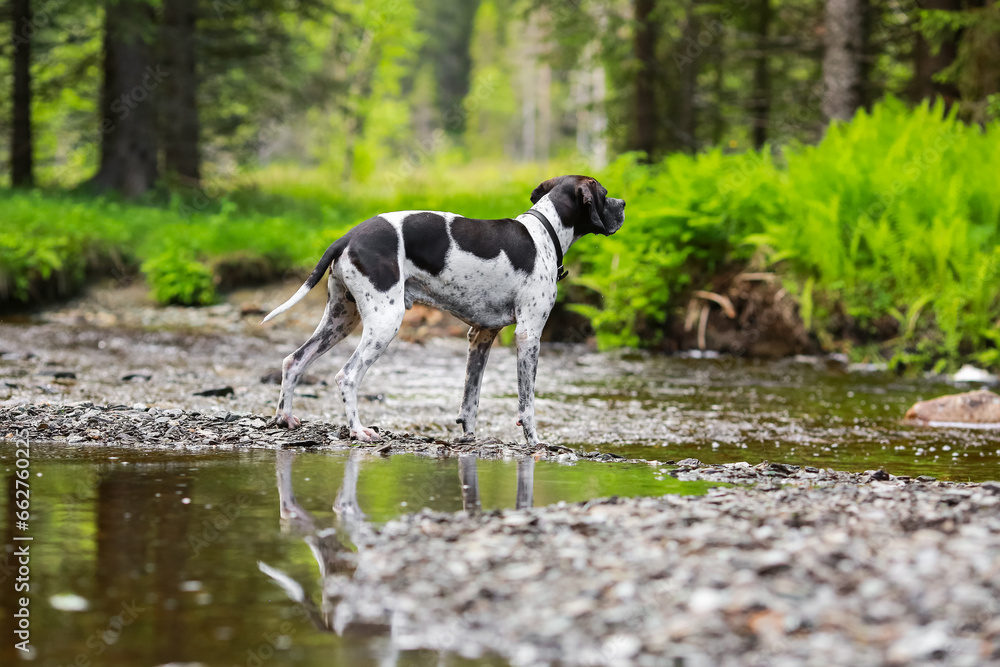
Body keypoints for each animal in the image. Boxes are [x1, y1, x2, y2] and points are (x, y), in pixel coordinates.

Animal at [264, 175, 624, 446]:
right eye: (605, 194)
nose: (623, 205)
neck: (544, 233)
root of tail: (347, 237)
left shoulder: (481, 336)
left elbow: (470, 400)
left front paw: (470, 439)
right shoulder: (529, 336)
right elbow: (527, 403)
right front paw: (535, 443)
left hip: (340, 320)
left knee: (293, 361)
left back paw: (284, 417)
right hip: (384, 323)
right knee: (347, 376)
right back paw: (357, 430)